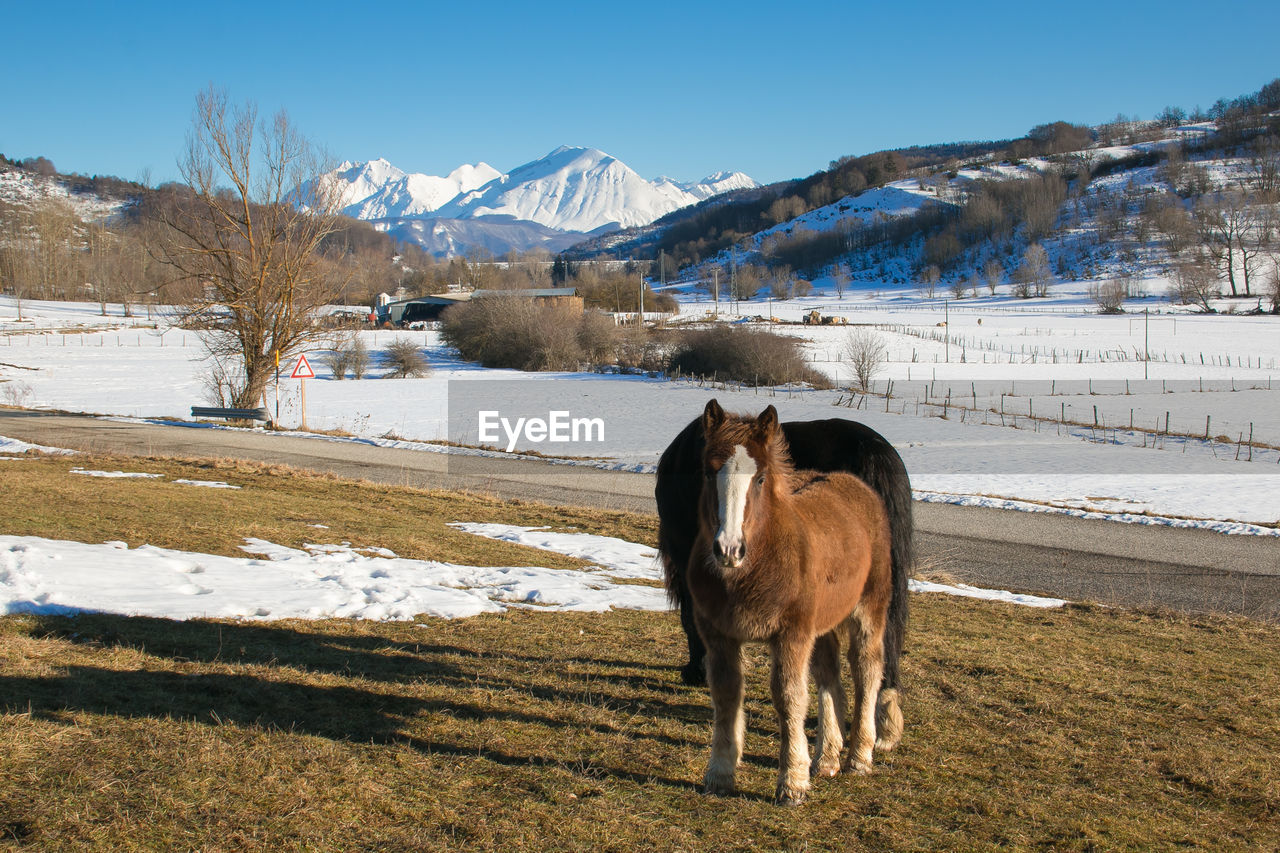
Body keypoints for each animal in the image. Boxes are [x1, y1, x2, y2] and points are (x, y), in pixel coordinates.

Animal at [686, 399, 896, 804]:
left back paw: (859, 757)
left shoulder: (791, 633)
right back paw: (827, 759)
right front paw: (720, 774)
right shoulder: (719, 634)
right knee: (830, 675)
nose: (729, 549)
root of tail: (859, 487)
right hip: (823, 621)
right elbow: (726, 694)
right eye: (707, 472)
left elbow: (789, 697)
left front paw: (792, 783)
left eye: (761, 478)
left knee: (866, 669)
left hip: (868, 609)